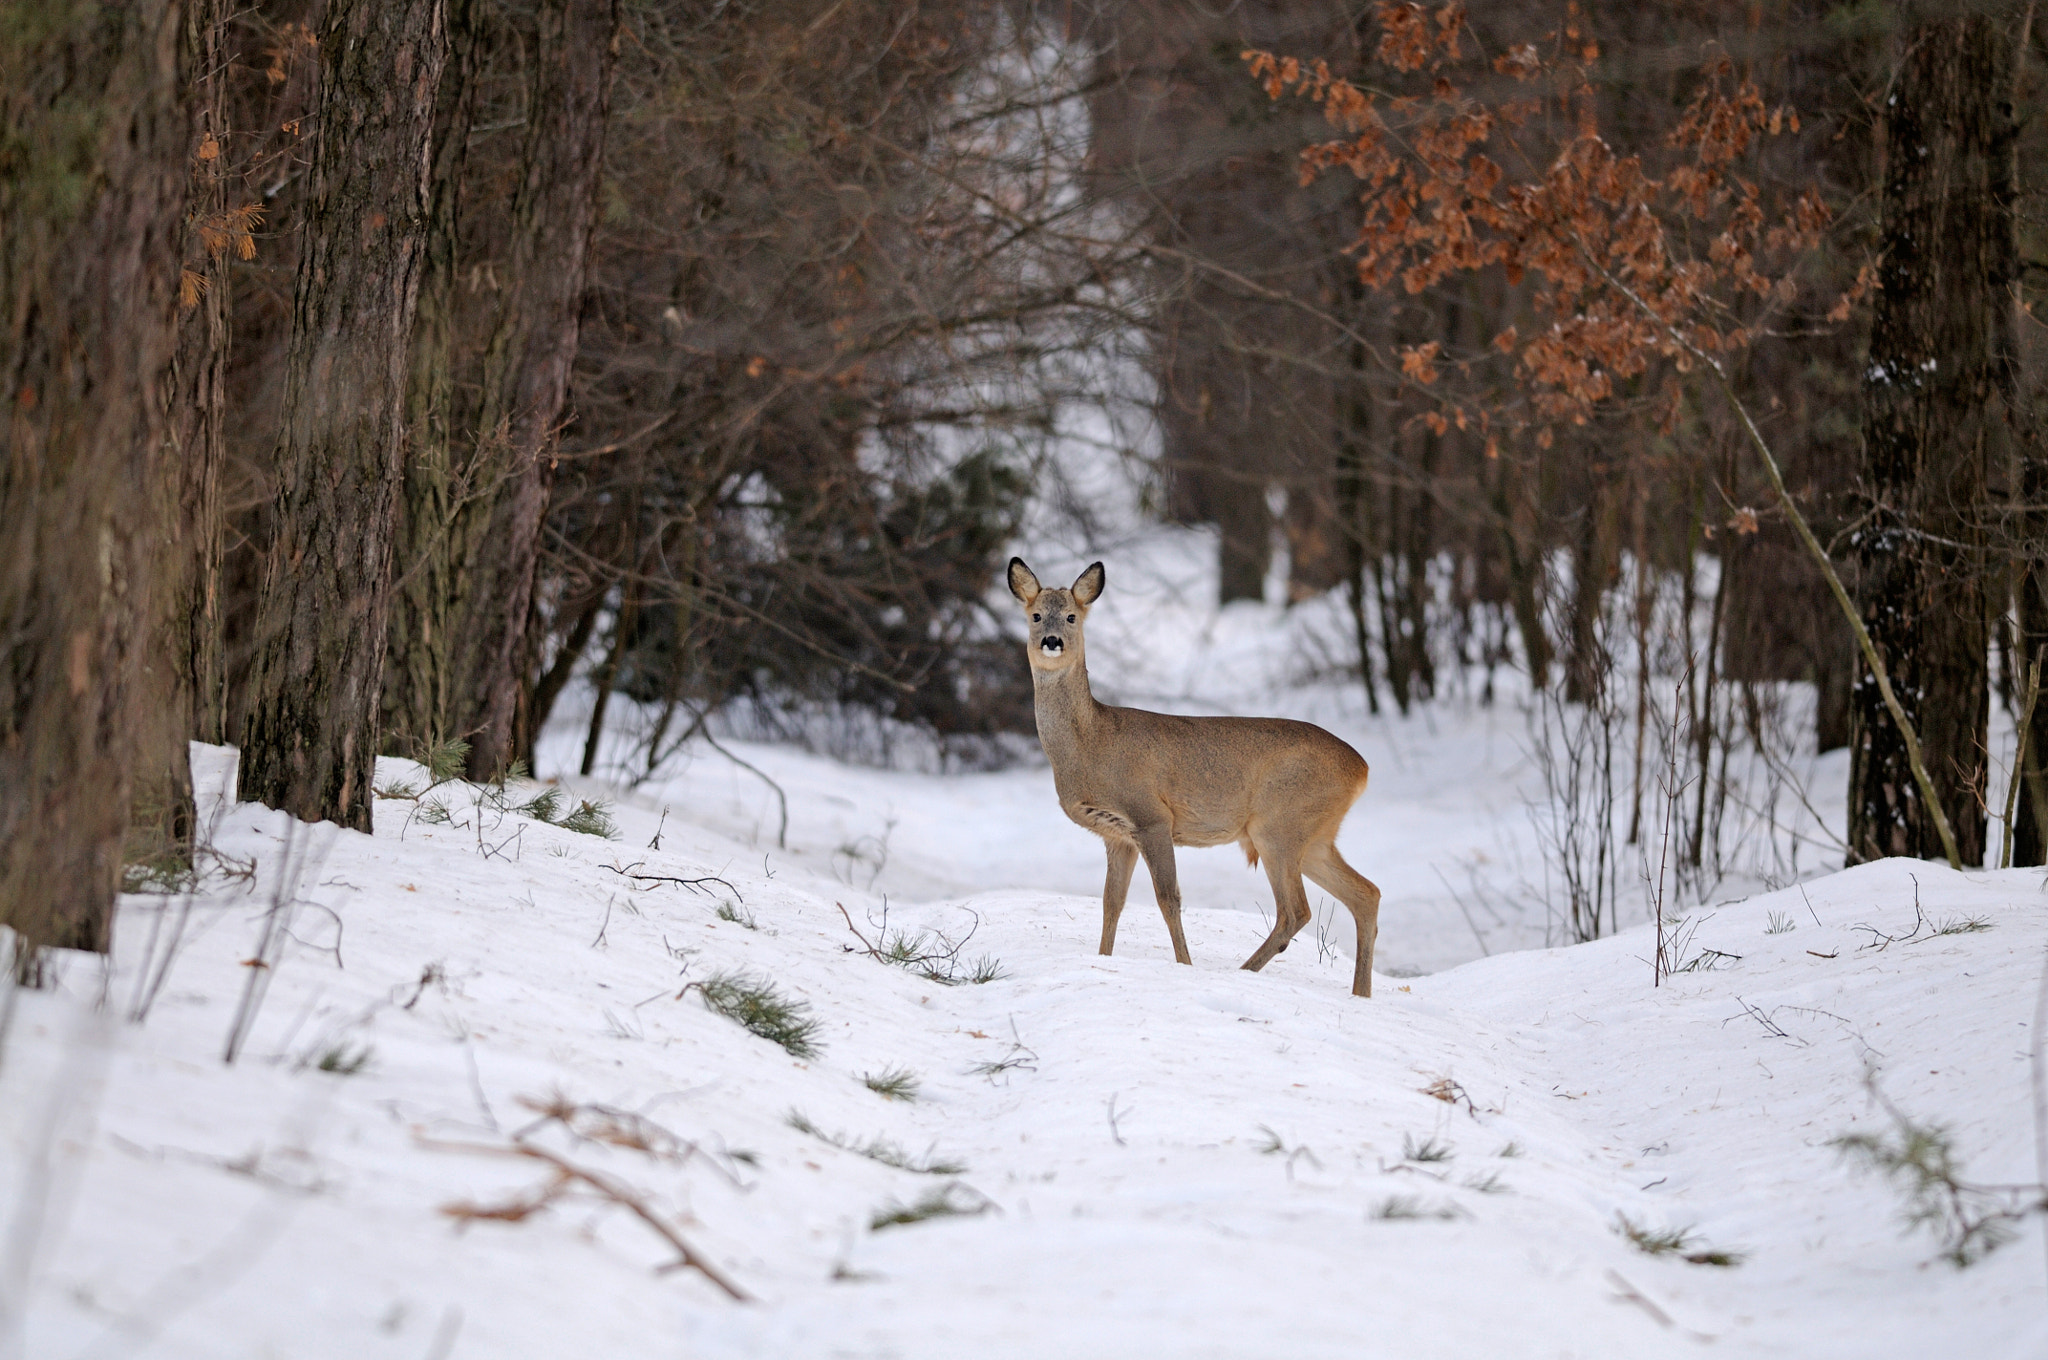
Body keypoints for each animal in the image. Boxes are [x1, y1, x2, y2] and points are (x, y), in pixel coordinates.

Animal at [1011, 557, 1392, 995]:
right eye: (1036, 615)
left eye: (1072, 616)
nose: (1051, 641)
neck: (1090, 743)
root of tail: (1362, 768)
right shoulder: (1117, 834)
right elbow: (1111, 902)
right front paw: (1103, 959)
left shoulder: (1152, 817)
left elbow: (1168, 897)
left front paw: (1185, 965)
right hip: (1314, 837)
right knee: (1366, 893)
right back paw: (1360, 994)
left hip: (1278, 826)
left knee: (1296, 910)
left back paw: (1244, 972)